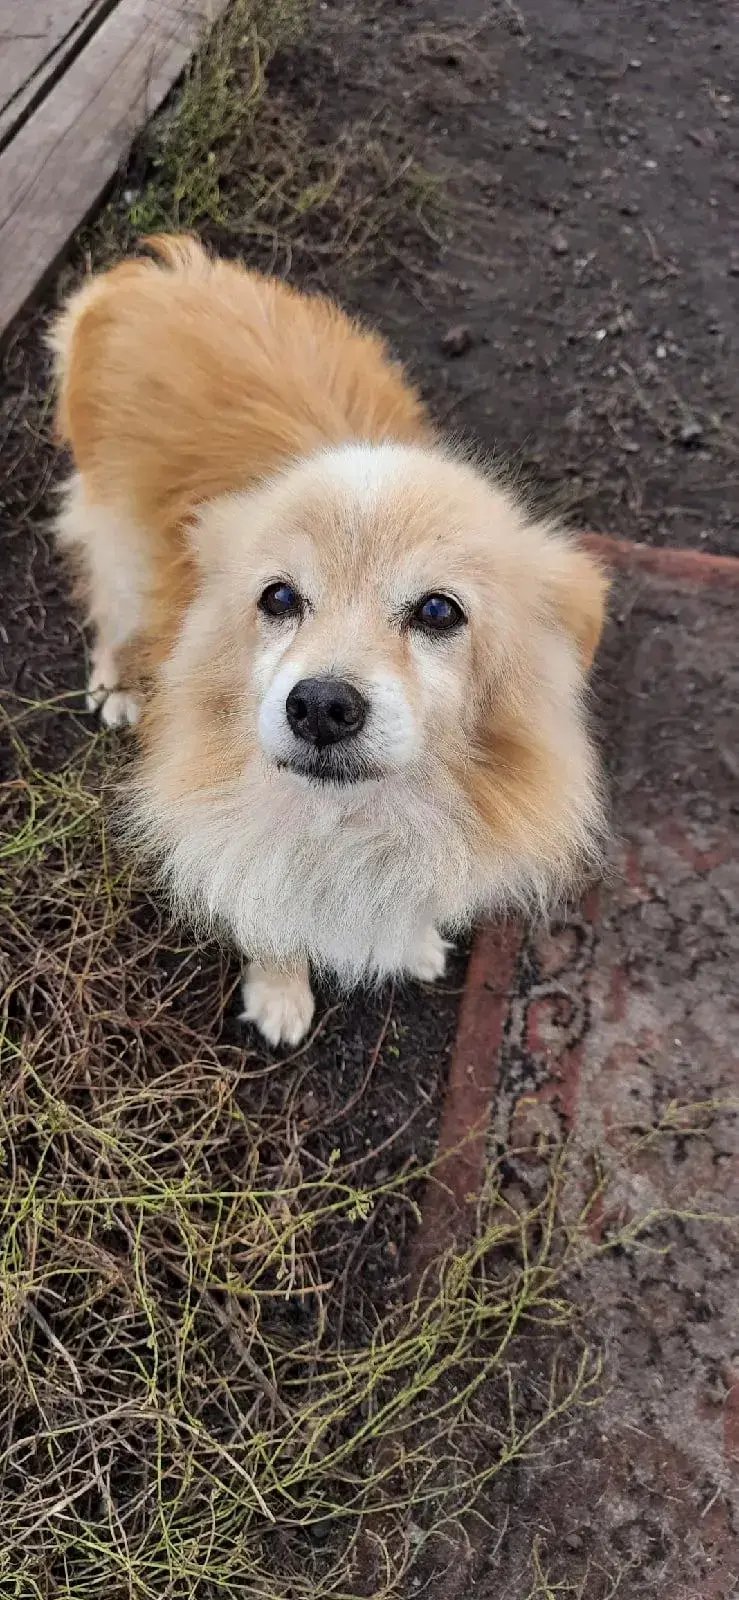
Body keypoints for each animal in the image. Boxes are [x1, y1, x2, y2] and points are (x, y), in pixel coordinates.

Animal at [50, 232, 604, 1043]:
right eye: (278, 598)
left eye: (439, 612)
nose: (319, 706)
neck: (351, 818)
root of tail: (144, 275)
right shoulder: (229, 818)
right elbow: (265, 903)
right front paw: (280, 993)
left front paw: (414, 941)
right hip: (122, 550)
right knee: (108, 609)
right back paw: (119, 685)